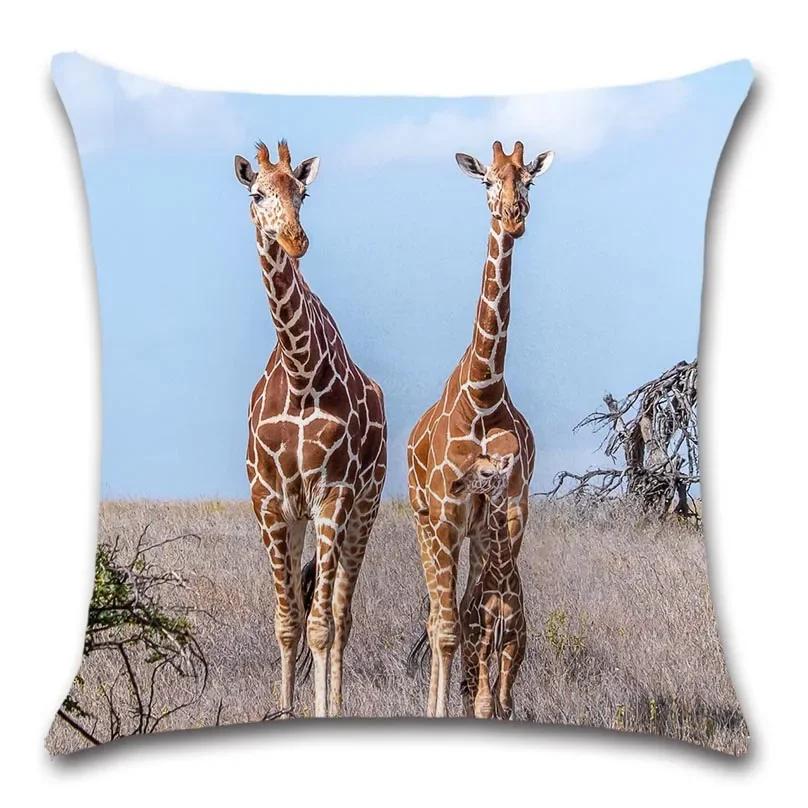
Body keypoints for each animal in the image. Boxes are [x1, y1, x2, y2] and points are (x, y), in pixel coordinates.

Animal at [234, 140, 387, 718]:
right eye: (256, 193)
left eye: (303, 192)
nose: (295, 240)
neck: (301, 372)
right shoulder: (270, 500)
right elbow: (287, 622)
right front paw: (284, 711)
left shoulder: (333, 493)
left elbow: (321, 626)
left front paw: (323, 712)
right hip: (299, 516)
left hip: (364, 508)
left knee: (341, 617)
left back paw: (339, 705)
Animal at [452, 432, 527, 720]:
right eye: (469, 465)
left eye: (485, 473)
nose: (455, 486)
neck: (502, 575)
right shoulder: (482, 642)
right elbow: (484, 704)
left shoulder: (513, 643)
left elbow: (504, 703)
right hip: (469, 650)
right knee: (469, 693)